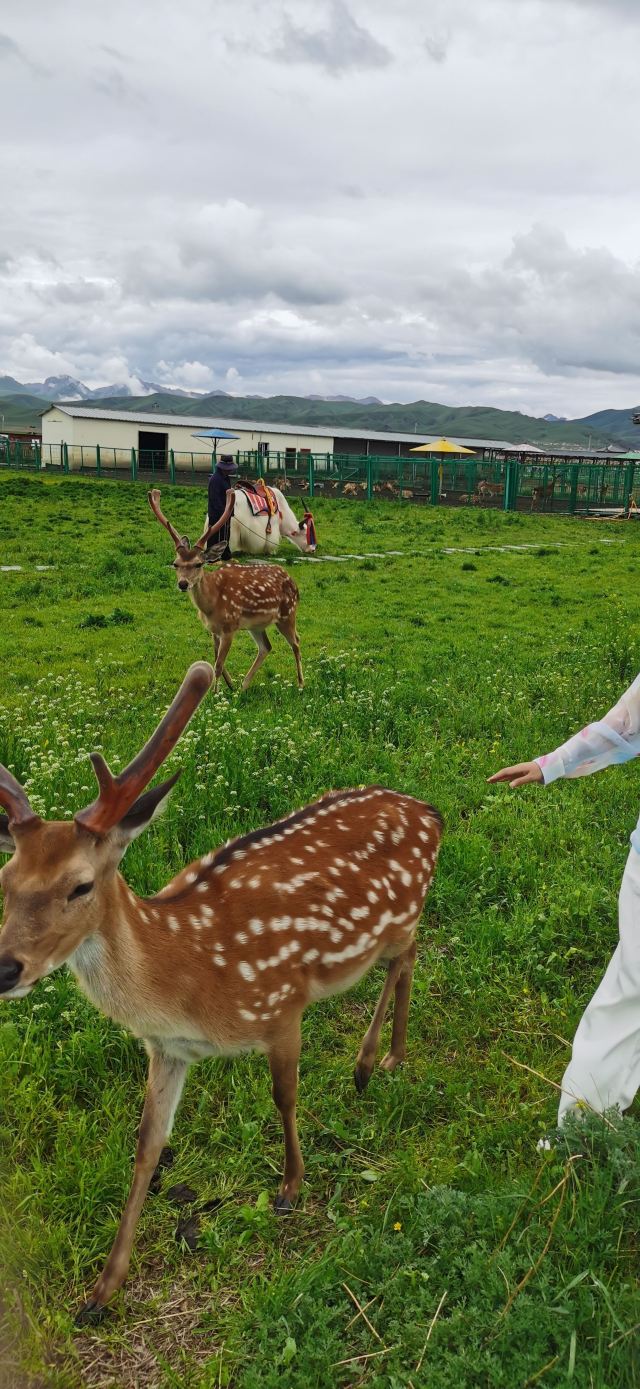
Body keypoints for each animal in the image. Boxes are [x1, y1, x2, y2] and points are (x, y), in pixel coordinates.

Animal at [0, 662, 443, 1321]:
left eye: (80, 885)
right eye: (5, 879)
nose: (6, 968)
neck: (189, 977)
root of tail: (432, 812)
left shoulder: (282, 1003)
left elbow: (284, 1095)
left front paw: (290, 1187)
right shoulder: (166, 1050)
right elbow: (147, 1146)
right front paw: (102, 1290)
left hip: (402, 914)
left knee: (409, 957)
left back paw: (378, 1061)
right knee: (404, 960)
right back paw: (375, 1062)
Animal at [149, 490, 303, 692]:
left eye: (199, 564)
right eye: (175, 564)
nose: (183, 584)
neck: (211, 605)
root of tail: (294, 582)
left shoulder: (230, 627)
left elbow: (219, 664)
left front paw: (216, 693)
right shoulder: (213, 630)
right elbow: (216, 660)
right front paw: (229, 685)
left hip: (287, 614)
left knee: (296, 642)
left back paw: (300, 683)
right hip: (256, 624)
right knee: (266, 647)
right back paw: (244, 686)